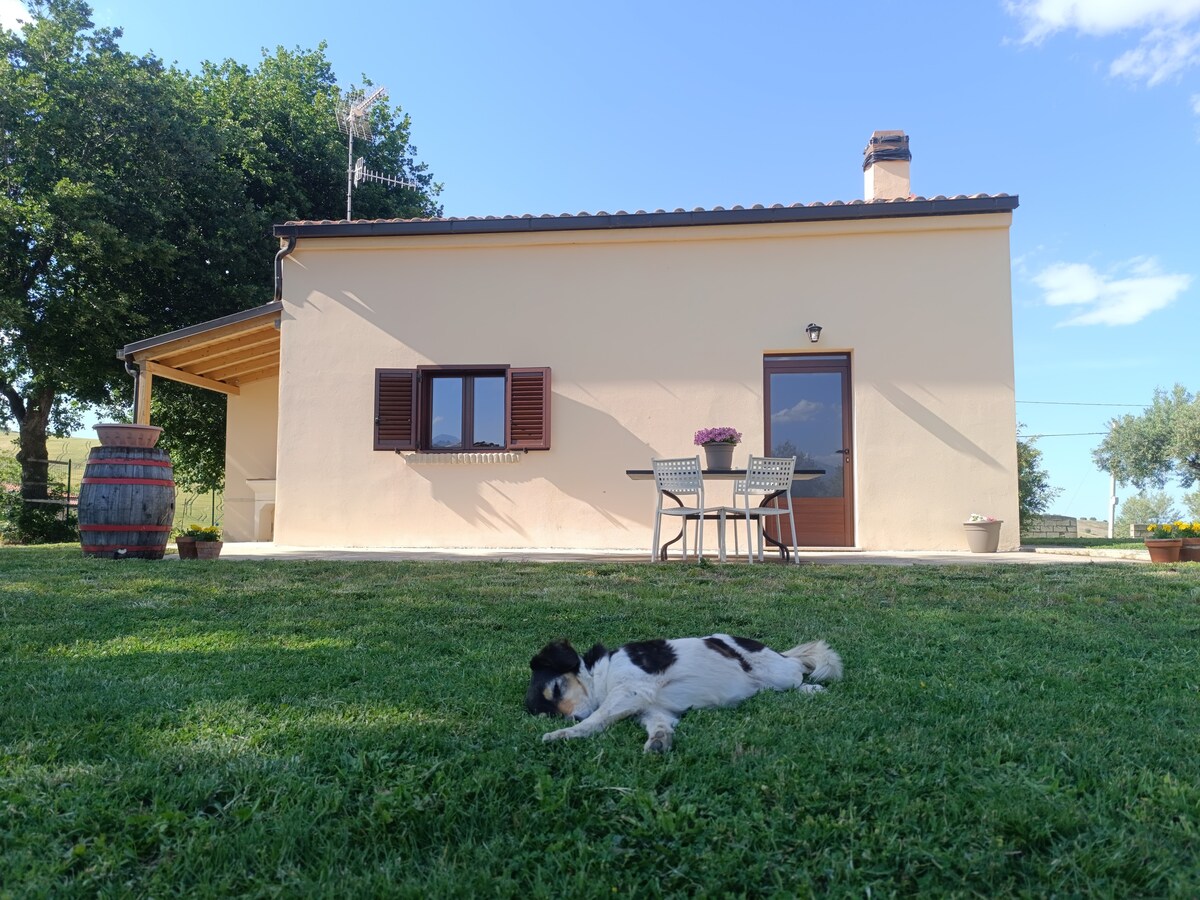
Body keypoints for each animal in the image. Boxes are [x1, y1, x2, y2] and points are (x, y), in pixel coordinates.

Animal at [526, 634, 842, 752]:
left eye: (556, 689)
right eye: (549, 714)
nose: (572, 718)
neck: (601, 672)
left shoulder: (632, 690)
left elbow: (596, 718)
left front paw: (565, 734)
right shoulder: (652, 709)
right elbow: (659, 725)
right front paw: (659, 740)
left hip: (778, 673)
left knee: (798, 668)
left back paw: (810, 685)